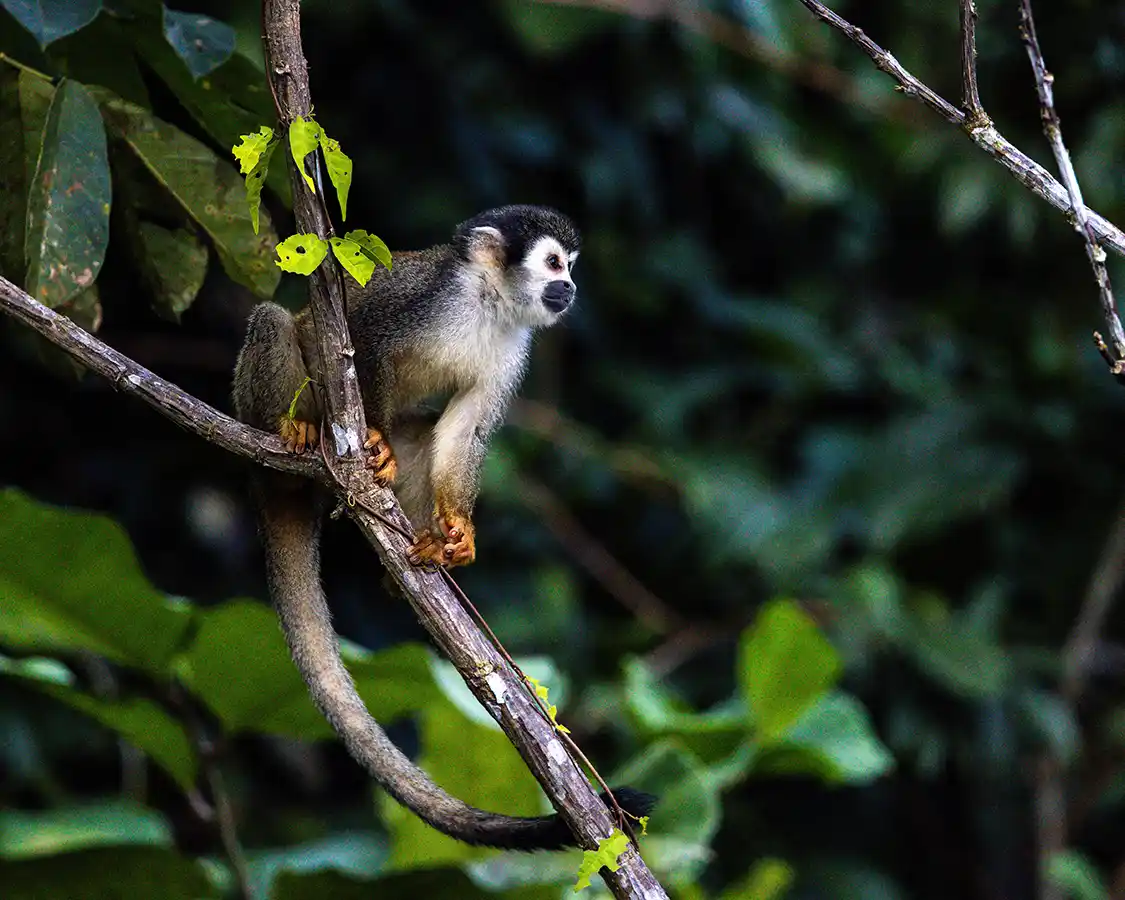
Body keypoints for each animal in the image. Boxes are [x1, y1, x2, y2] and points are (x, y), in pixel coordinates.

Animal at [232, 206, 652, 850]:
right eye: (555, 263)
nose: (571, 288)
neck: (488, 301)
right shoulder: (422, 295)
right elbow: (358, 342)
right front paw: (374, 437)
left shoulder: (515, 347)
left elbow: (465, 426)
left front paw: (458, 527)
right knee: (276, 321)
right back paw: (292, 430)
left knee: (425, 428)